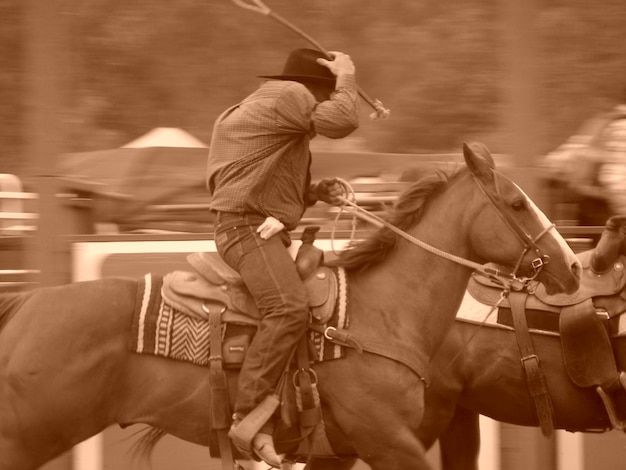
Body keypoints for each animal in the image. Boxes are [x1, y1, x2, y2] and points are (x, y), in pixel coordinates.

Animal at [0, 142, 576, 470]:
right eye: (517, 203)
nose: (570, 265)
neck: (377, 315)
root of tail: (27, 305)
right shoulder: (389, 441)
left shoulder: (341, 451)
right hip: (24, 437)